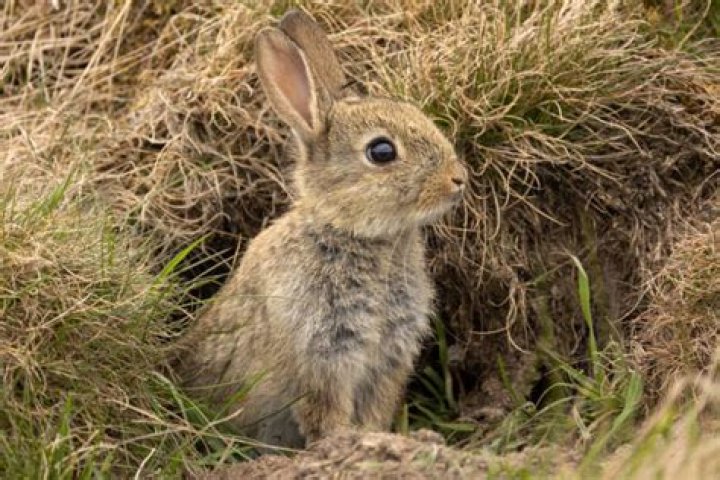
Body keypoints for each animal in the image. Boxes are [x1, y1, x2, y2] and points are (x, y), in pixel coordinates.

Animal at [175, 9, 467, 448]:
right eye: (382, 151)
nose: (458, 179)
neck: (355, 234)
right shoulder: (321, 352)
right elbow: (325, 412)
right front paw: (347, 443)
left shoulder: (388, 359)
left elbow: (376, 407)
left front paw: (383, 437)